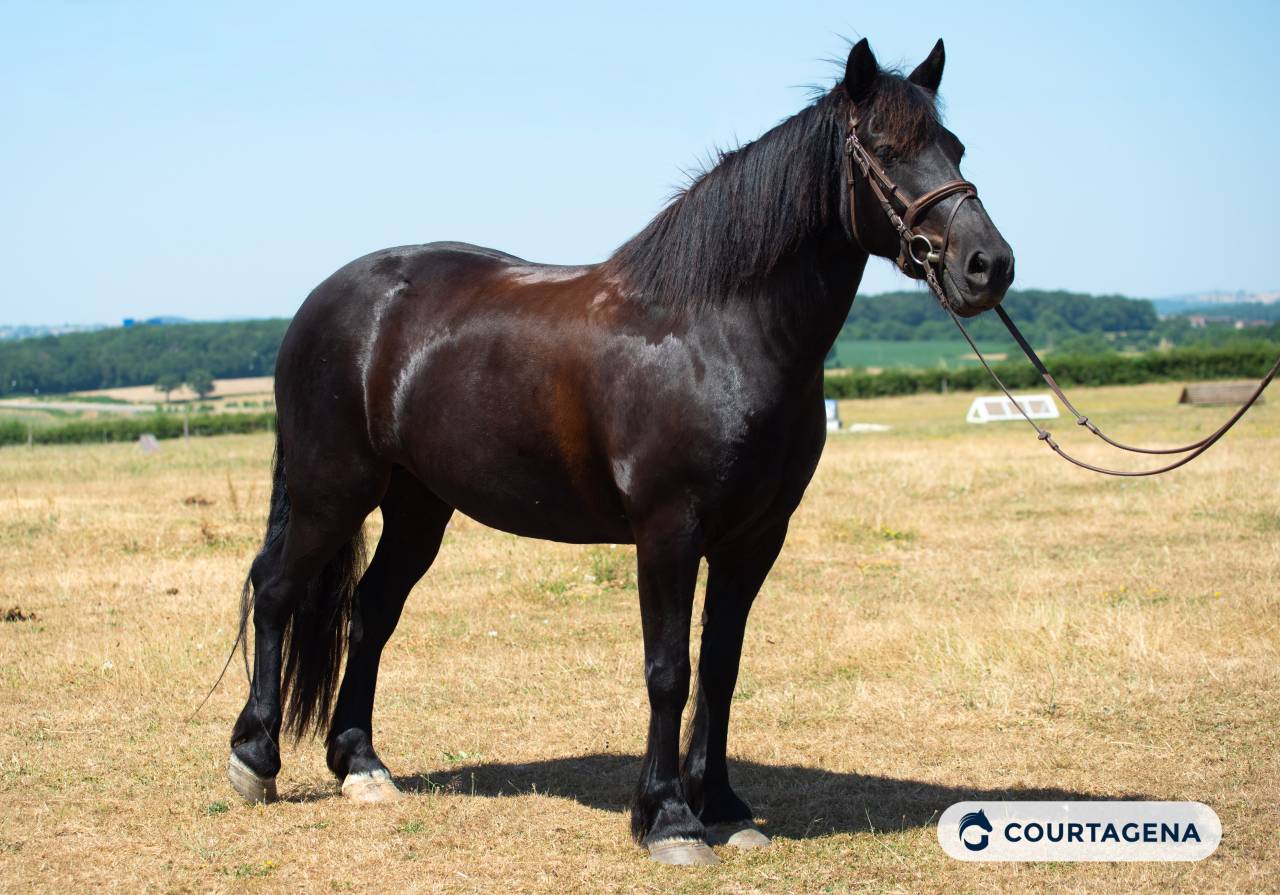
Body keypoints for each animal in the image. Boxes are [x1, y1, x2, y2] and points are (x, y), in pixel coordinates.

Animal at [225, 37, 1014, 865]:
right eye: (887, 150)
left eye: (954, 145)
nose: (988, 264)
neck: (717, 333)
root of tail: (325, 301)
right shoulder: (668, 531)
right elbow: (669, 669)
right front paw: (668, 817)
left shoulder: (756, 537)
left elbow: (721, 665)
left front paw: (723, 804)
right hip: (332, 488)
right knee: (276, 588)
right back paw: (254, 759)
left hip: (417, 503)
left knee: (370, 610)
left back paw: (362, 765)